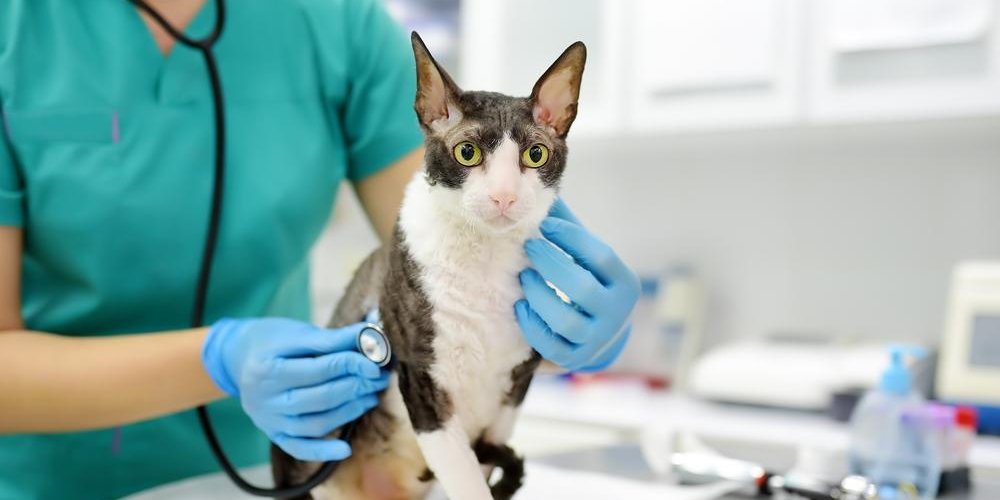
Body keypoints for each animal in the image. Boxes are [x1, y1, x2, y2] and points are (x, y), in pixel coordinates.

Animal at [270, 32, 588, 500]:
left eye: (535, 154)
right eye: (467, 152)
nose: (504, 196)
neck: (484, 262)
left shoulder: (514, 389)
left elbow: (477, 471)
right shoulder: (422, 380)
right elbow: (466, 480)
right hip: (311, 450)